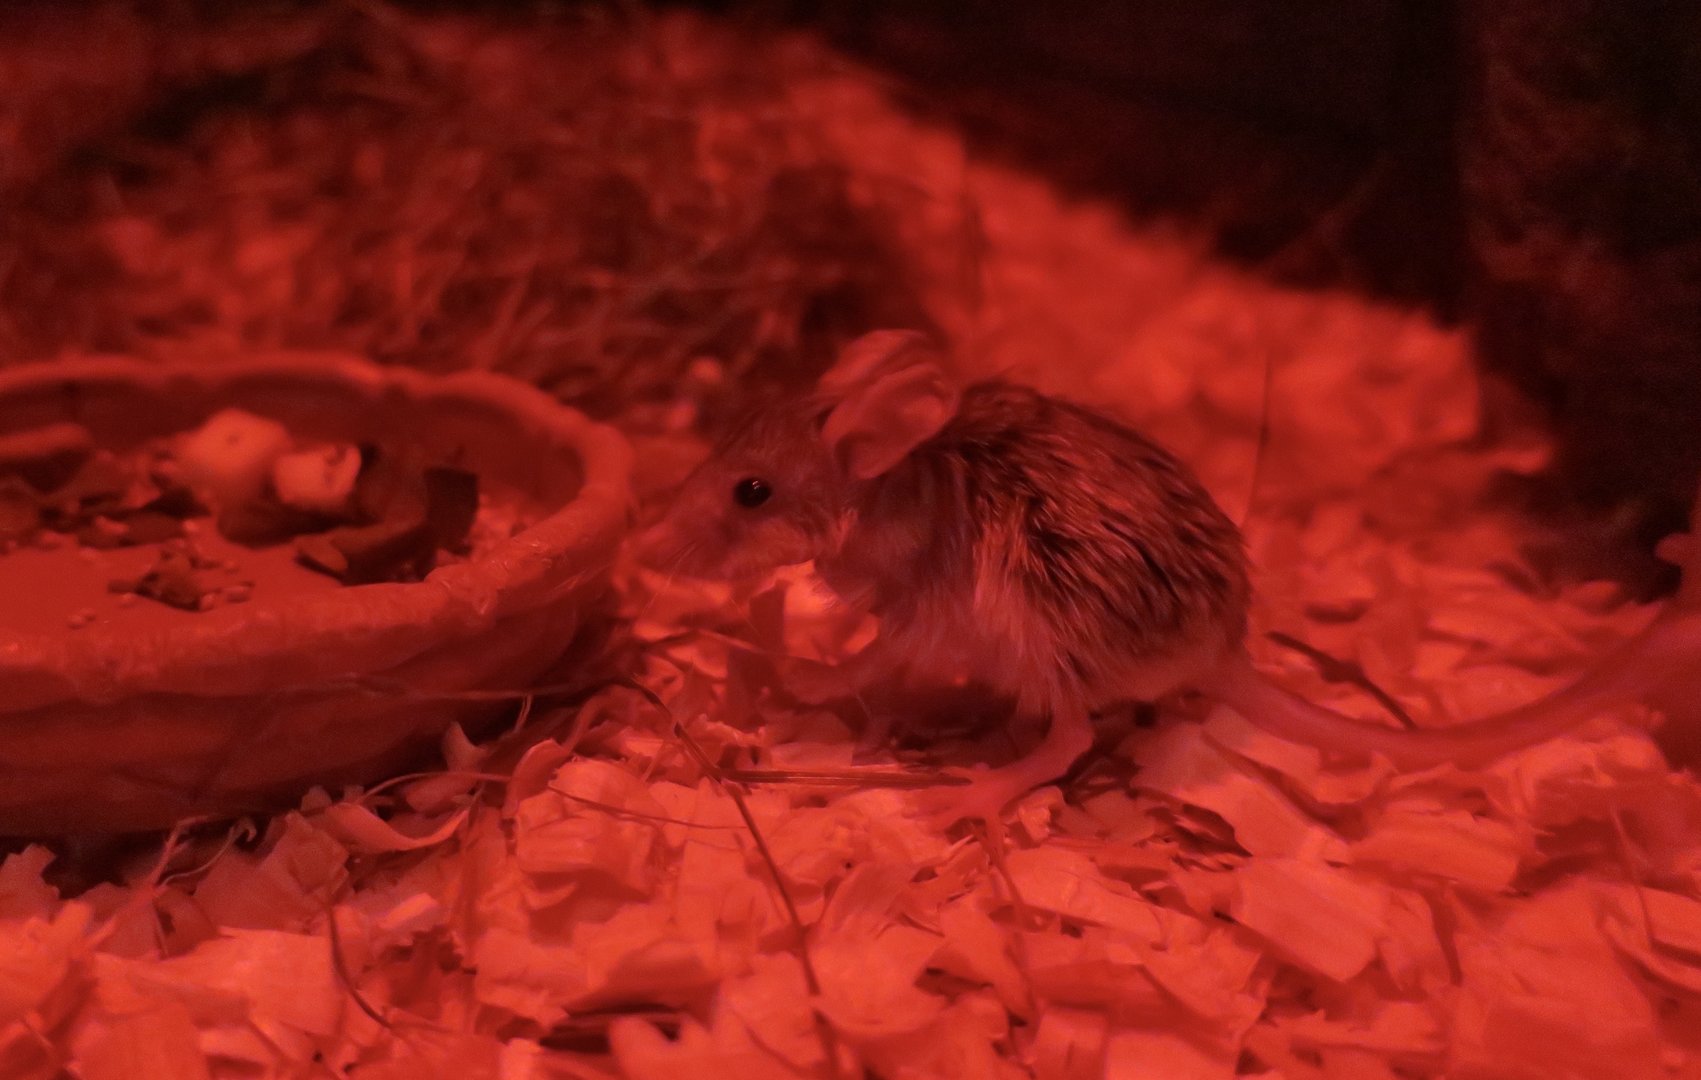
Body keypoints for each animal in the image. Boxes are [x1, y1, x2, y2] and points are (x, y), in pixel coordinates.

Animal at [639, 330, 1701, 823]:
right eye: (727, 444)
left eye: (750, 492)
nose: (646, 551)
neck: (893, 484)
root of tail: (1222, 650)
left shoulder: (916, 618)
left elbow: (853, 665)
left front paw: (772, 658)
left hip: (1043, 639)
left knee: (1067, 739)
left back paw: (965, 794)